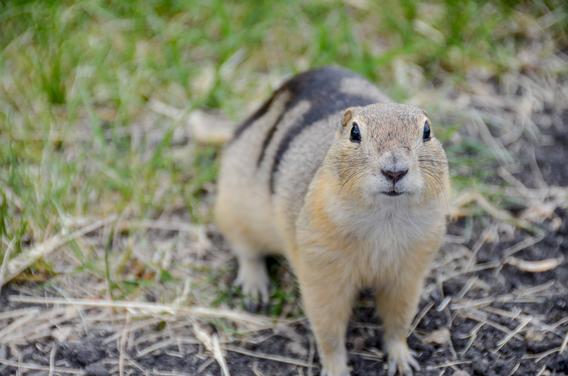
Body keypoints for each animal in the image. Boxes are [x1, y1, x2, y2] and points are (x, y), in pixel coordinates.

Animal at [215, 66, 450, 374]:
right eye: (354, 132)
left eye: (427, 131)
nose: (395, 171)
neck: (385, 216)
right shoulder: (322, 268)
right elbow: (328, 326)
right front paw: (337, 368)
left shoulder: (410, 270)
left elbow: (399, 317)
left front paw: (402, 360)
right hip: (233, 205)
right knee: (246, 250)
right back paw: (255, 288)